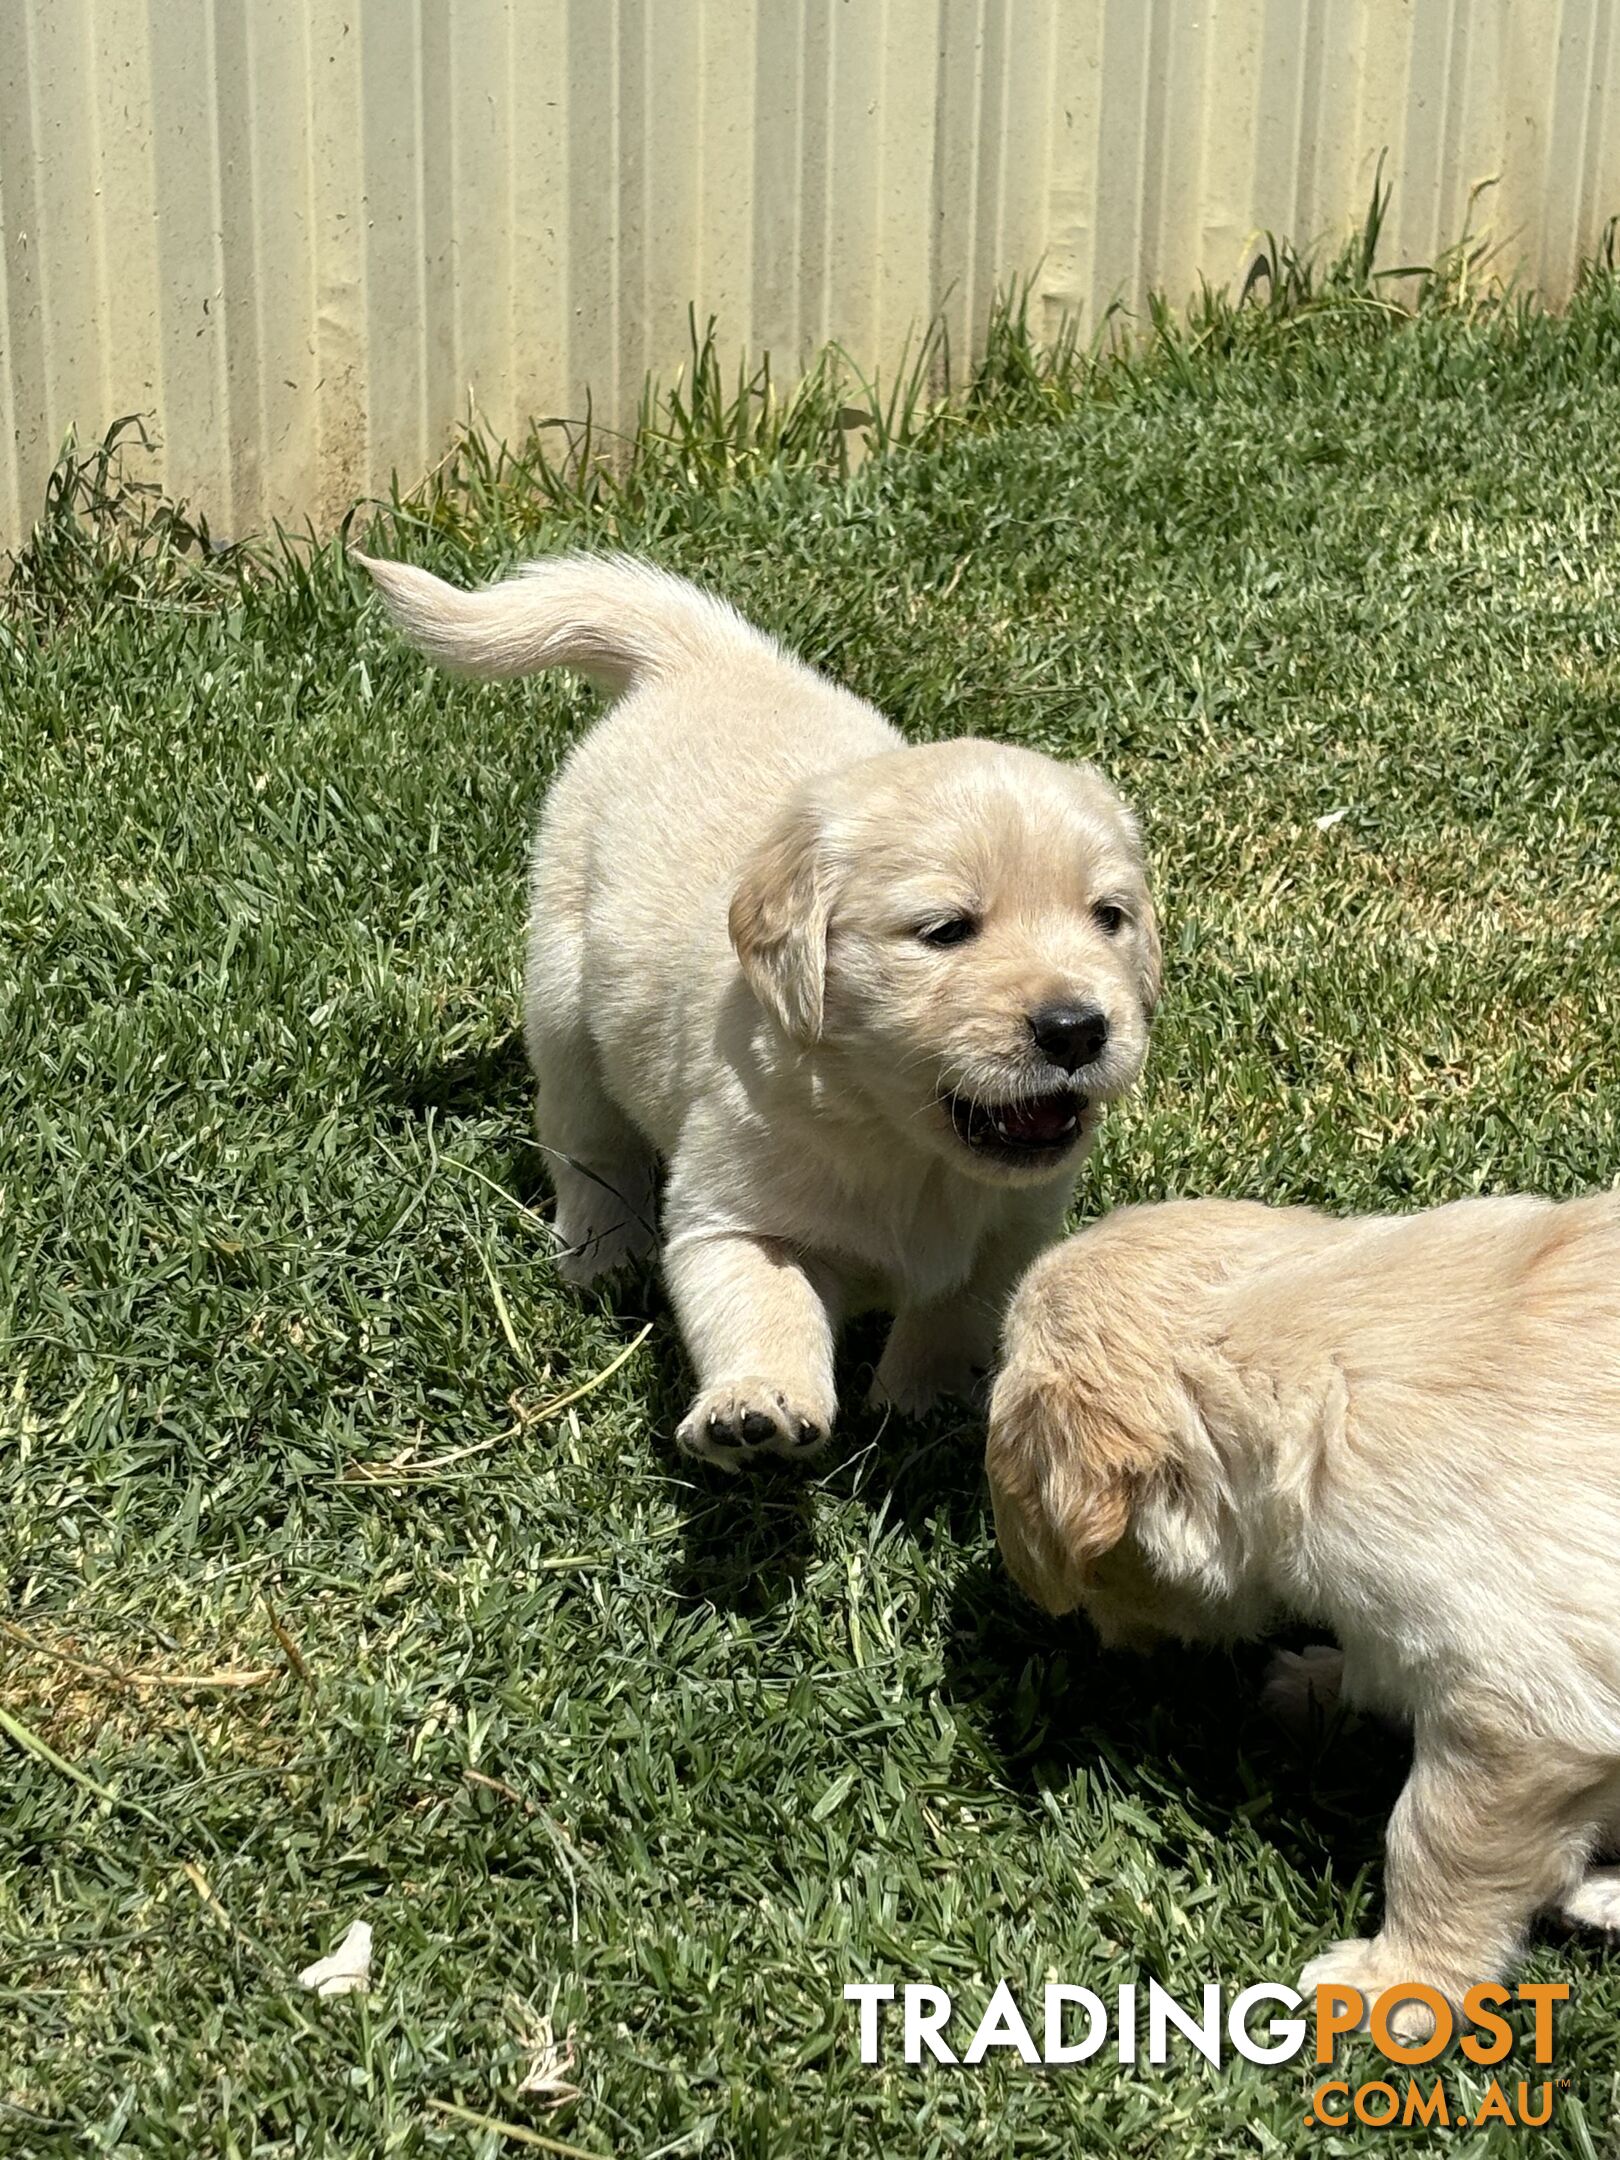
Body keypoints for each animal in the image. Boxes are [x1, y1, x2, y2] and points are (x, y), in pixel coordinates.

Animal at [360, 557, 1157, 1468]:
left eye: (1110, 918)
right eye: (946, 930)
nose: (1077, 1029)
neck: (899, 1143)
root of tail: (707, 654)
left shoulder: (1011, 1234)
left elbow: (955, 1314)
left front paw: (921, 1406)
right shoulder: (735, 1214)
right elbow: (762, 1306)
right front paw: (754, 1408)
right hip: (562, 998)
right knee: (587, 1141)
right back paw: (603, 1249)